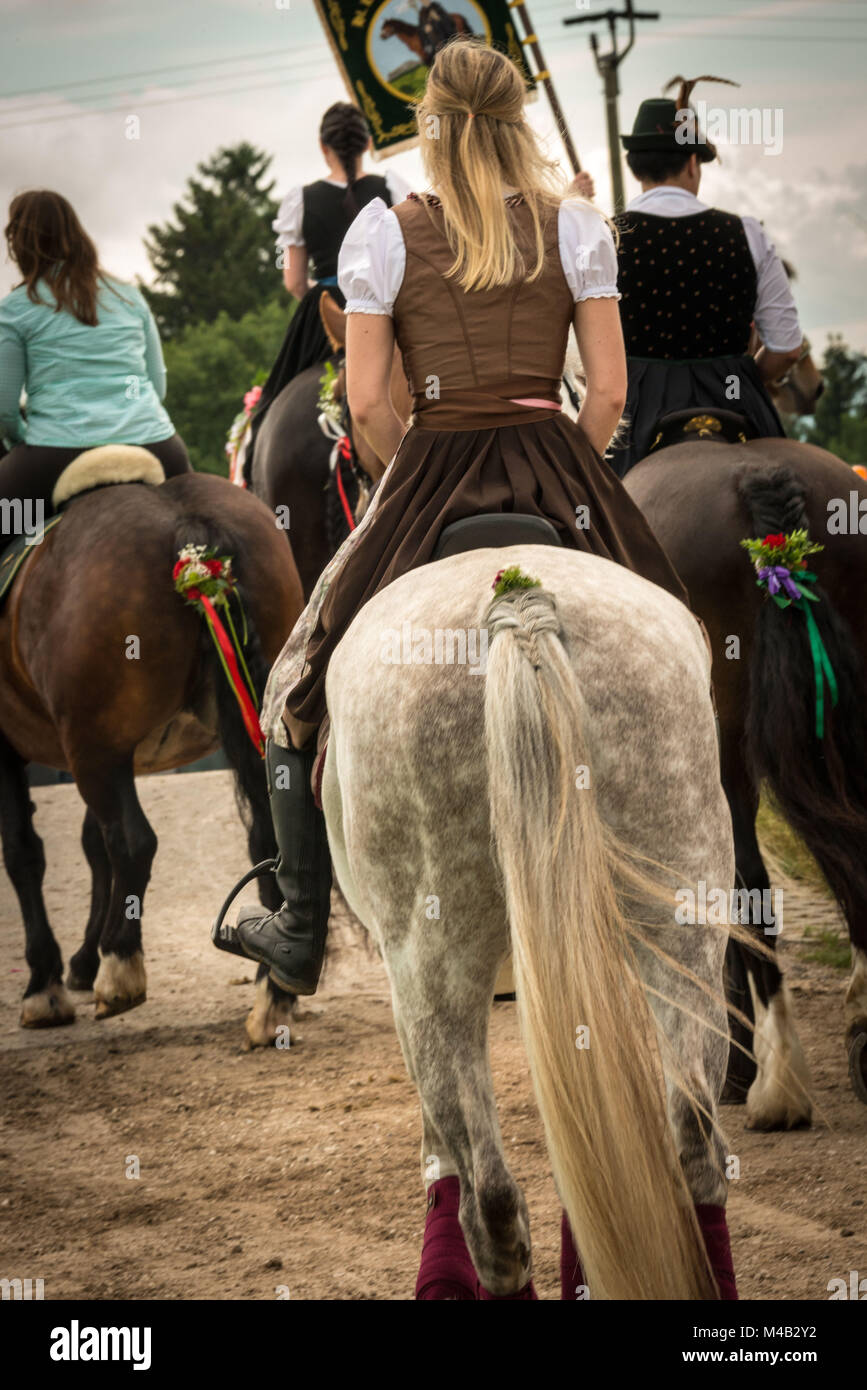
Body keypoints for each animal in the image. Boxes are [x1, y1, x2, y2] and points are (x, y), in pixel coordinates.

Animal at [0, 453, 304, 1045]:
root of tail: (189, 532)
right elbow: (89, 845)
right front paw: (79, 961)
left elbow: (27, 853)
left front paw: (46, 983)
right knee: (267, 840)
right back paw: (272, 994)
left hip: (93, 749)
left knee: (133, 842)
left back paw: (121, 968)